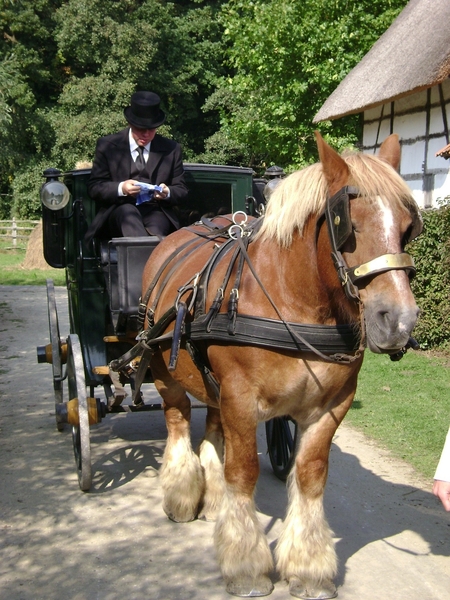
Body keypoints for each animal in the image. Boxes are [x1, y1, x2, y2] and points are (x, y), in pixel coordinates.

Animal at [129, 132, 422, 600]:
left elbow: (310, 477)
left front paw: (308, 566)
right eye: (346, 224)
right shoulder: (242, 399)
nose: (398, 320)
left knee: (212, 428)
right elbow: (244, 472)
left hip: (213, 384)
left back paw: (213, 501)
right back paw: (181, 495)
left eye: (409, 225)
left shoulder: (330, 407)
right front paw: (246, 564)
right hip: (163, 367)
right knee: (178, 420)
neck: (295, 301)